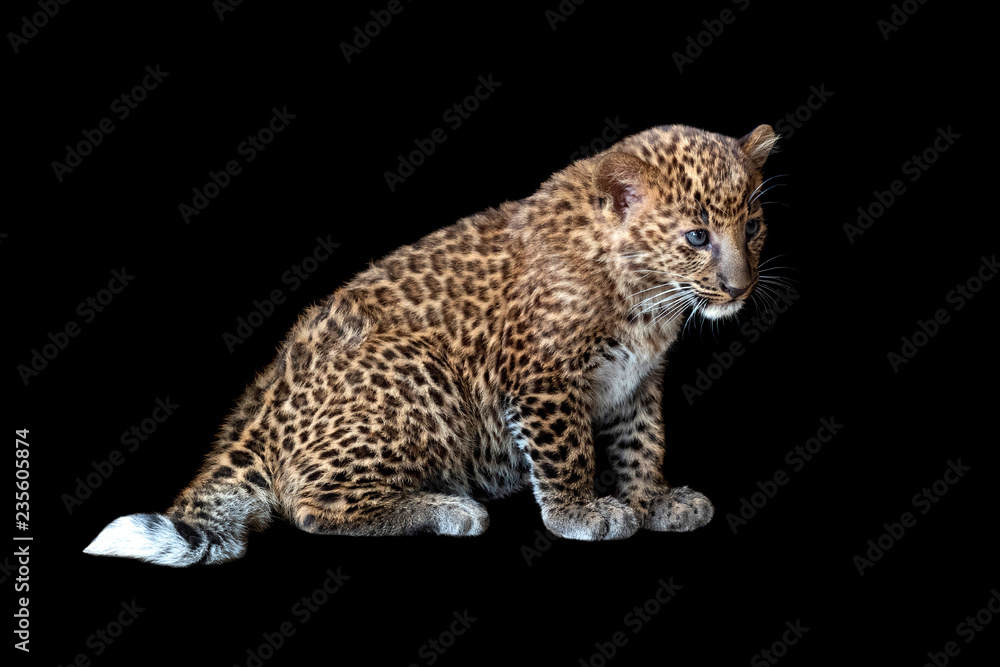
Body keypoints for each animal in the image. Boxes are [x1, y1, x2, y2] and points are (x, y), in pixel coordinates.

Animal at [83, 123, 779, 566]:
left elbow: (641, 443)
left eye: (752, 227)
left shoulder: (636, 381)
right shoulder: (543, 377)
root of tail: (257, 411)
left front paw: (651, 500)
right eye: (696, 237)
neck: (643, 301)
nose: (739, 286)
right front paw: (584, 513)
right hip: (418, 370)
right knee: (308, 504)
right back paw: (449, 510)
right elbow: (567, 452)